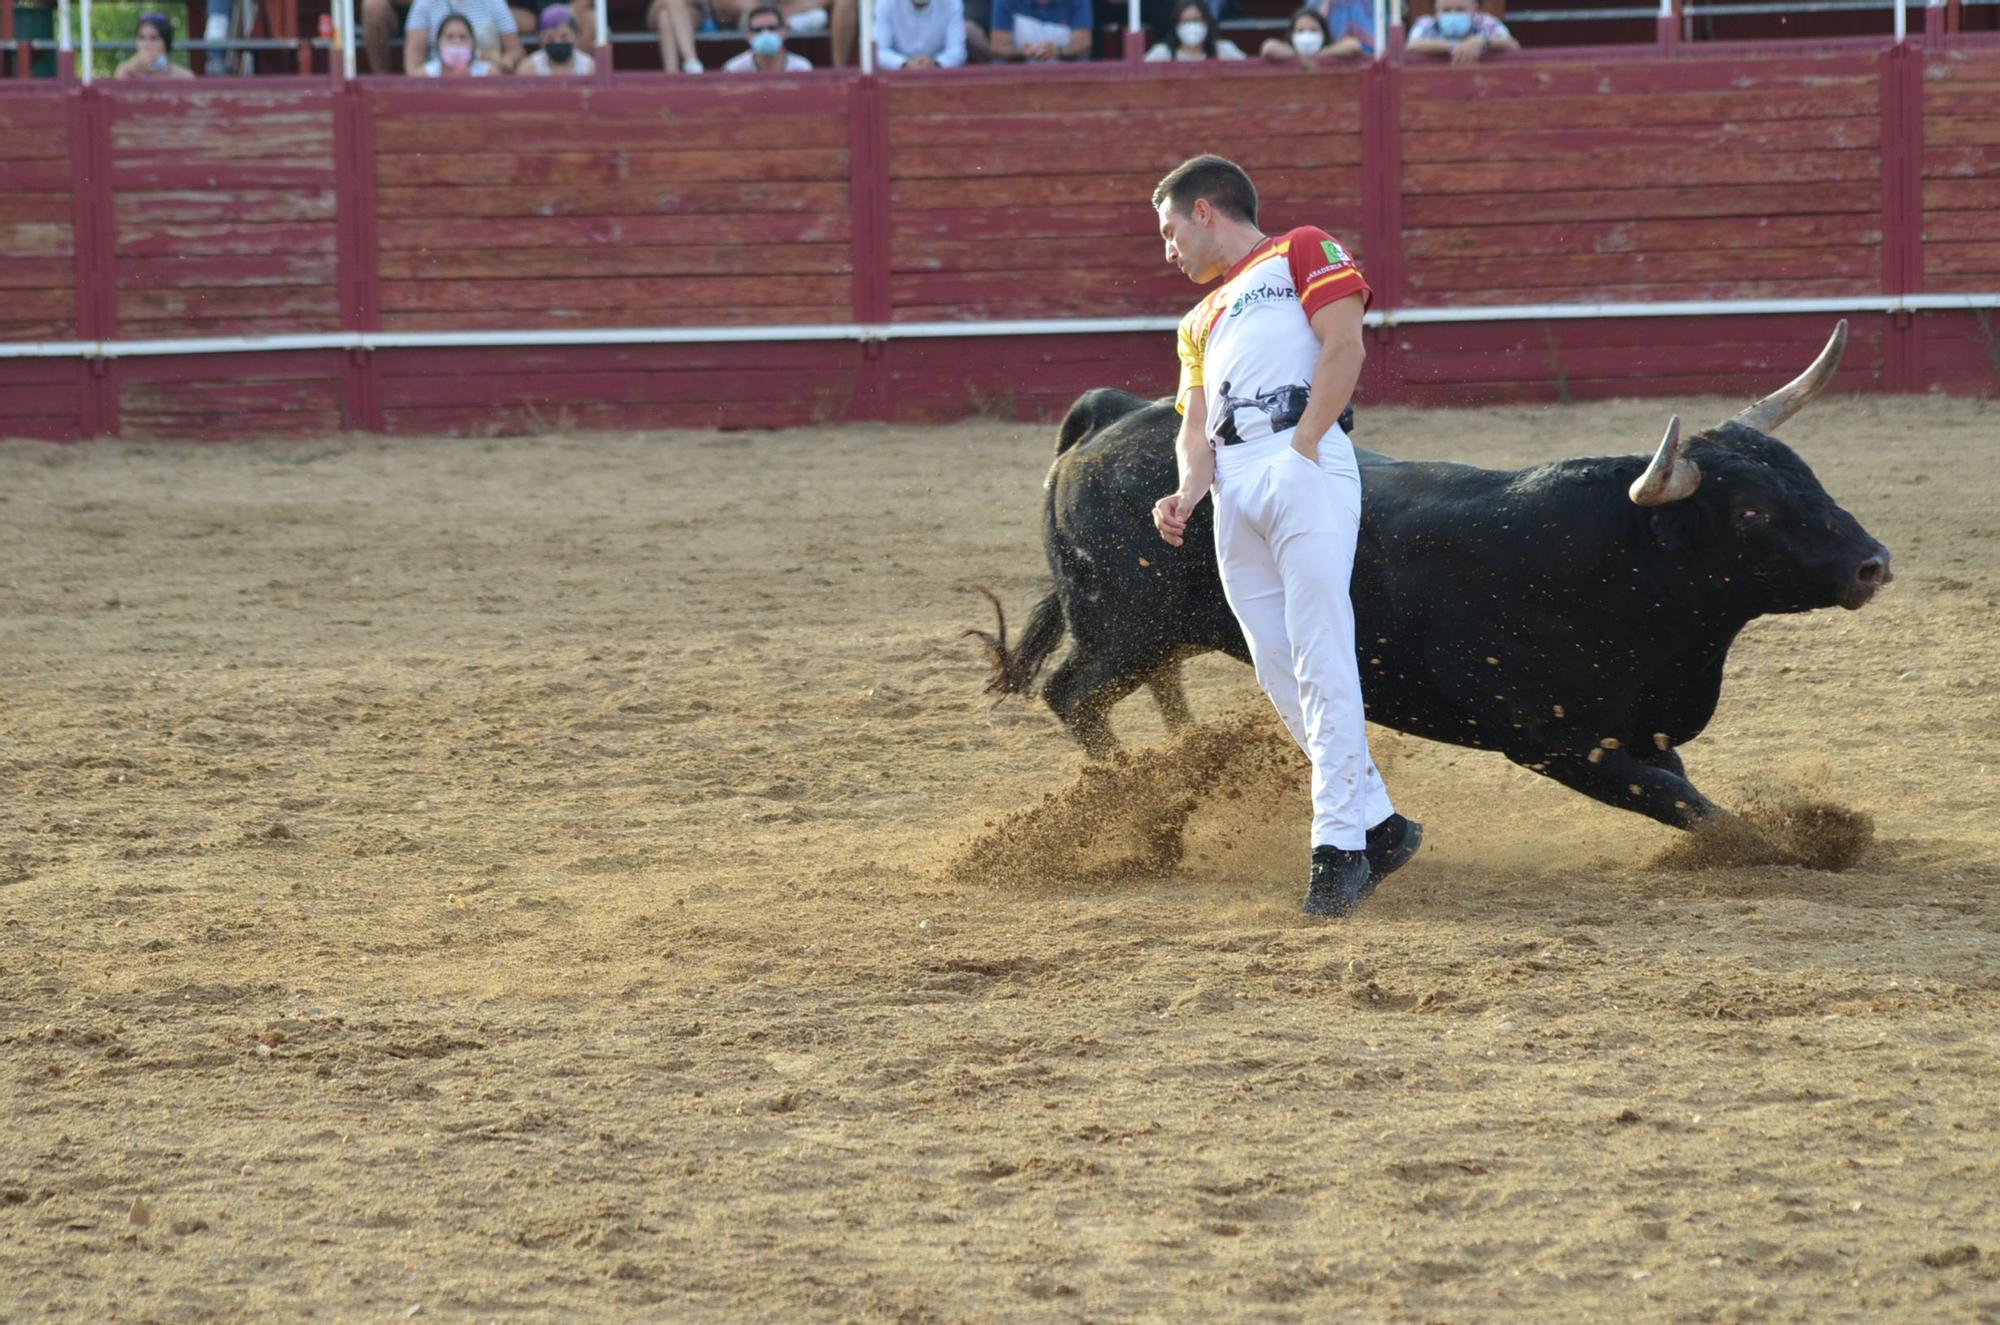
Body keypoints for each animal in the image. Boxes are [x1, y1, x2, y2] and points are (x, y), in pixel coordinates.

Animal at [968, 322, 1888, 836]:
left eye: (1803, 473)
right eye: (1752, 513)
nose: (1873, 560)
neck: (1613, 561)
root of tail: (1114, 417)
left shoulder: (1639, 730)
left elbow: (1682, 788)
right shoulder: (1552, 741)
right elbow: (1686, 805)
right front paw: (1789, 841)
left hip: (1159, 630)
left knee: (1151, 687)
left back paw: (1182, 770)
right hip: (1121, 626)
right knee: (1073, 693)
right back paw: (1146, 805)